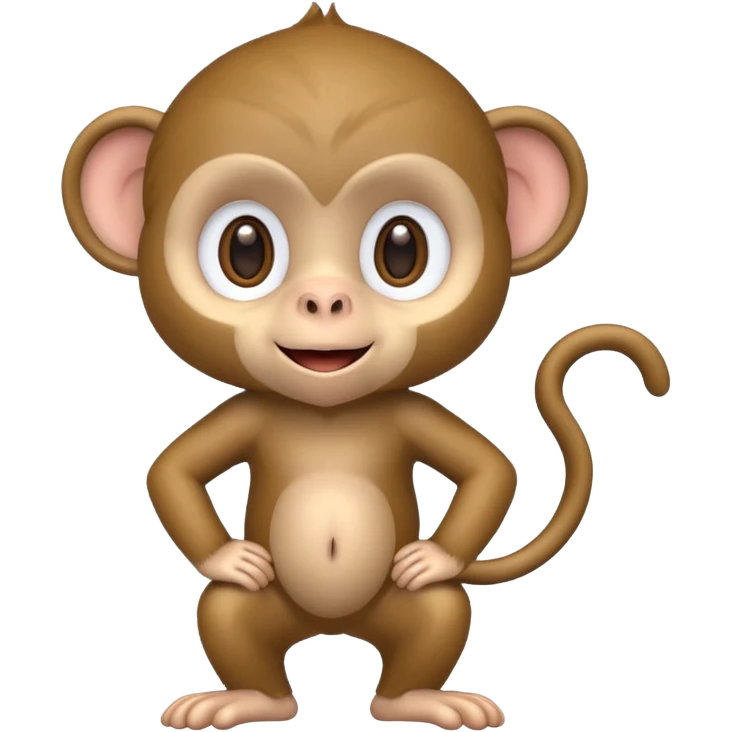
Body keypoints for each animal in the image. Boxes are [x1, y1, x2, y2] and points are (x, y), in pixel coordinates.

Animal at [60, 4, 671, 731]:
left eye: (402, 249)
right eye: (245, 249)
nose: (325, 299)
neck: (330, 411)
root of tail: (333, 628)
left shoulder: (407, 408)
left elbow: (490, 470)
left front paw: (430, 555)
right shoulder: (250, 411)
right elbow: (172, 471)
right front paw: (233, 556)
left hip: (416, 608)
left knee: (436, 615)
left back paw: (420, 698)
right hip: (255, 608)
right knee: (229, 613)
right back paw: (248, 698)